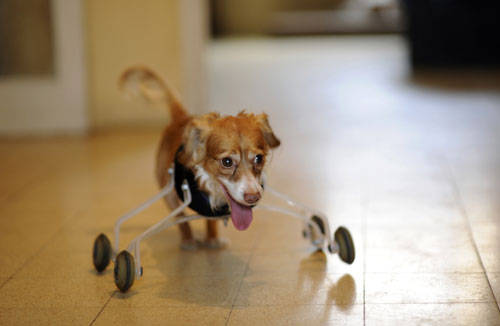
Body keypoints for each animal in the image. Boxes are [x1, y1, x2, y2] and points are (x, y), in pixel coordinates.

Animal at [119, 66, 280, 250]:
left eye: (259, 158)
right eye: (227, 162)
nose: (253, 197)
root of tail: (181, 117)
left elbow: (210, 219)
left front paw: (212, 238)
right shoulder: (170, 196)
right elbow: (181, 218)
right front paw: (188, 238)